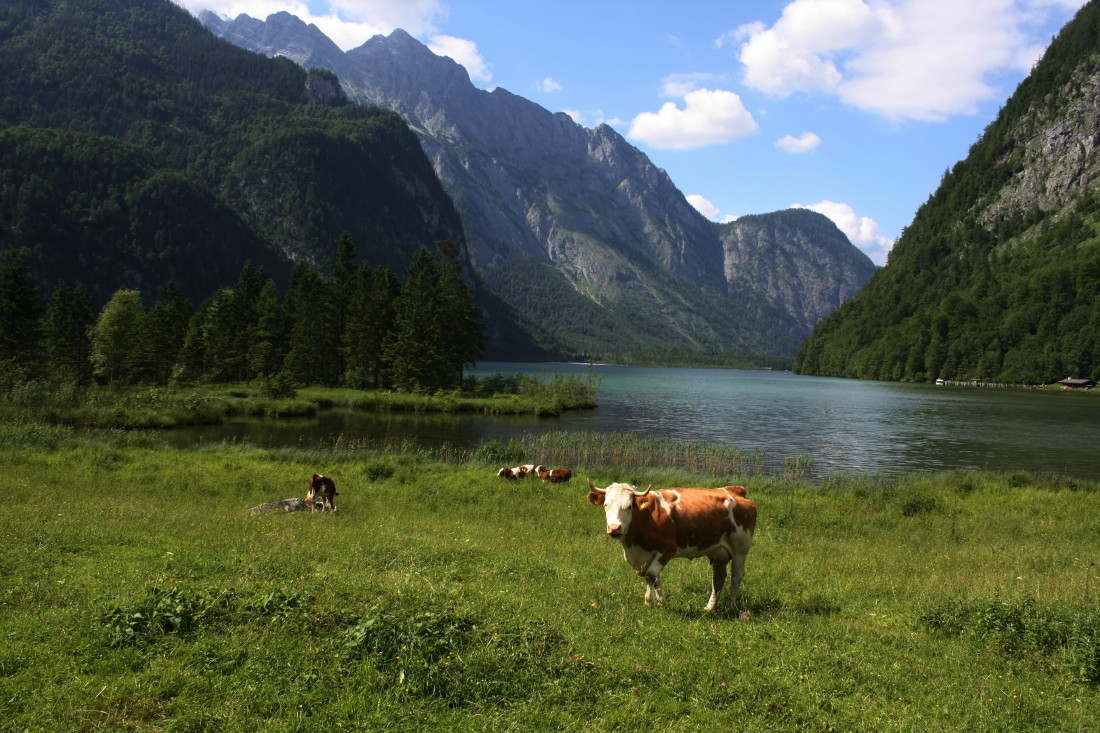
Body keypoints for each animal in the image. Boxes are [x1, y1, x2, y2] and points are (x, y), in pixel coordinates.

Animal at [585, 479, 756, 611]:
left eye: (629, 506)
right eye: (606, 505)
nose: (614, 528)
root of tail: (733, 490)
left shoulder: (667, 549)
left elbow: (650, 574)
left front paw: (650, 601)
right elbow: (655, 578)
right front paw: (658, 602)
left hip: (740, 548)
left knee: (736, 576)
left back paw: (730, 606)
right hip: (718, 551)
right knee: (718, 577)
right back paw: (709, 607)